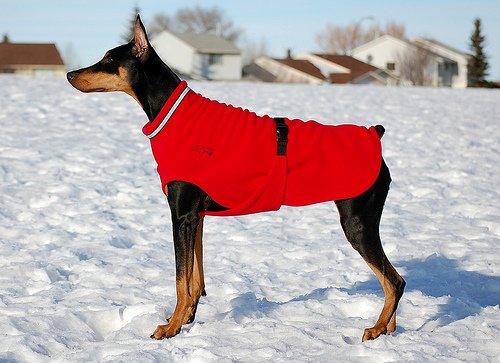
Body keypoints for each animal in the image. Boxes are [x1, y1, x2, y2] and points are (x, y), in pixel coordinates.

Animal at [66, 15, 404, 342]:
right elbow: (194, 278)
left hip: (357, 223)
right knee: (393, 279)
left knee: (395, 281)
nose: (69, 74)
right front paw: (185, 319)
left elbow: (179, 279)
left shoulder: (181, 214)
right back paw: (388, 329)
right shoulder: (196, 216)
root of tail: (374, 134)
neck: (172, 114)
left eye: (108, 58)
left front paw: (171, 328)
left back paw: (376, 328)